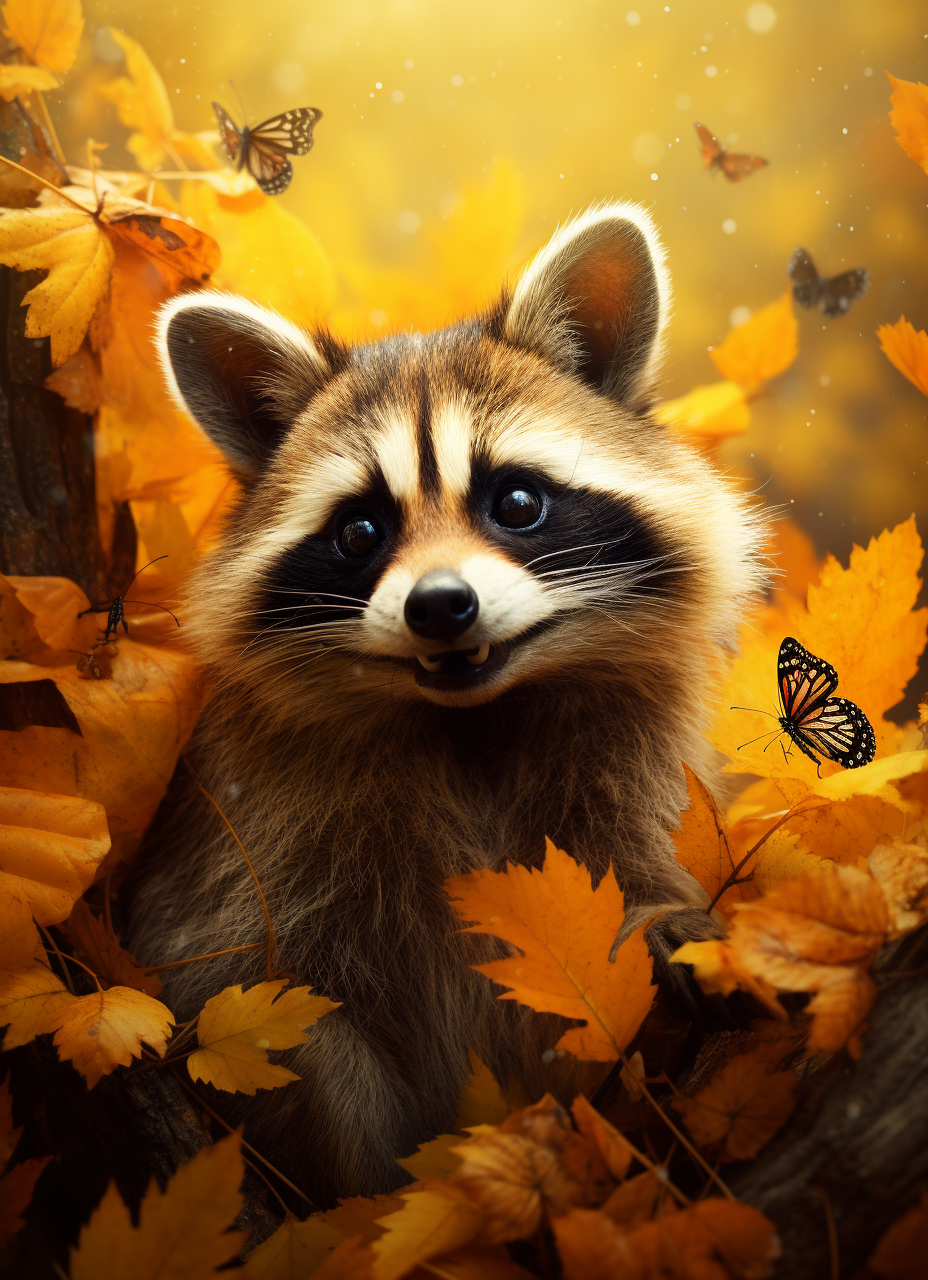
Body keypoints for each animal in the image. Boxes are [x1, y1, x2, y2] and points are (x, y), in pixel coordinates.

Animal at [125, 202, 765, 1204]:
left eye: (517, 501)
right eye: (359, 530)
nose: (438, 606)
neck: (473, 721)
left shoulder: (630, 761)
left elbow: (638, 864)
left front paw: (667, 923)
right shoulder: (249, 851)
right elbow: (267, 1017)